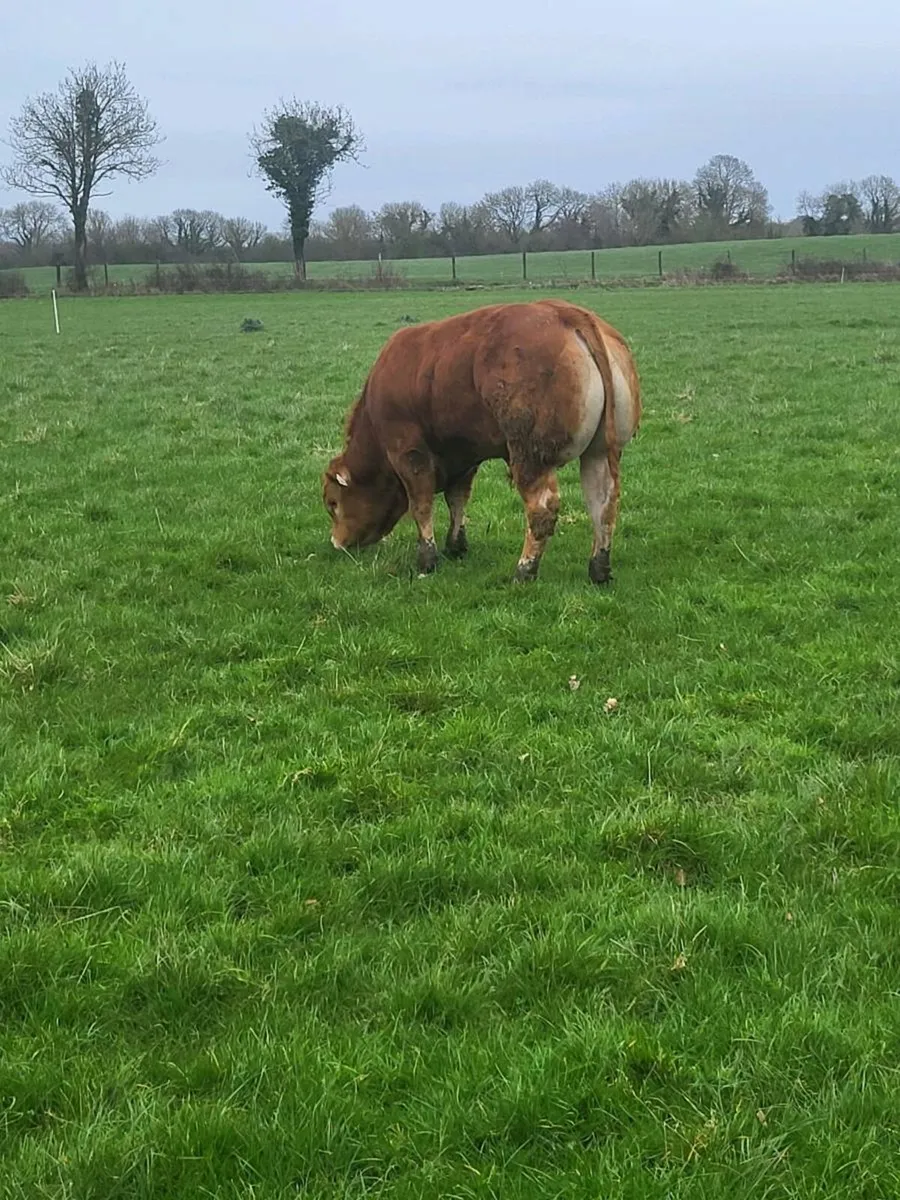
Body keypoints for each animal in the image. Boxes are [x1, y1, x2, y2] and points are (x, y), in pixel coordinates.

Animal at [323, 298, 642, 584]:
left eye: (333, 503)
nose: (337, 543)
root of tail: (565, 313)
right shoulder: (464, 456)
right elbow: (457, 499)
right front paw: (456, 545)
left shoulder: (409, 453)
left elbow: (421, 504)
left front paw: (427, 559)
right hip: (599, 453)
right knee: (603, 503)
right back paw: (599, 569)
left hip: (529, 456)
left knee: (542, 509)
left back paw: (524, 570)